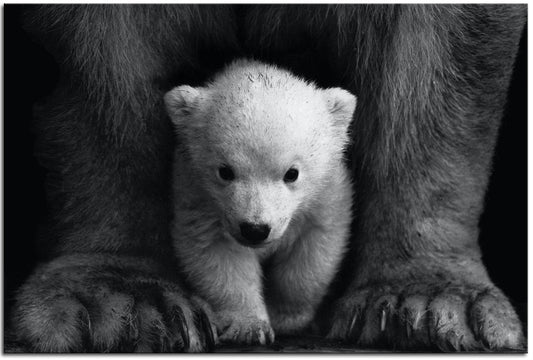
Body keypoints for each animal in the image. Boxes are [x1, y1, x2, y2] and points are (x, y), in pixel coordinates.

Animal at [11, 2, 524, 352]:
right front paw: (120, 305)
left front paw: (430, 303)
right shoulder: (201, 201)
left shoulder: (325, 199)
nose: (255, 228)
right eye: (224, 171)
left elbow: (443, 58)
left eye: (292, 174)